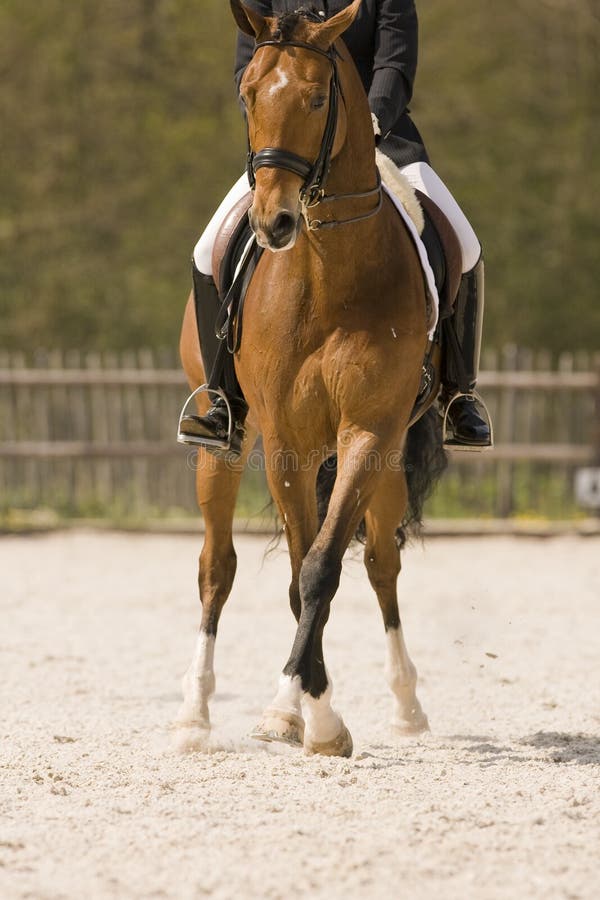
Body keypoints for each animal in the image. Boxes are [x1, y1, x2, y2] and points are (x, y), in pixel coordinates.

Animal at [173, 0, 446, 760]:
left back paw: (407, 708)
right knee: (216, 568)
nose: (274, 222)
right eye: (247, 95)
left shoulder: (368, 432)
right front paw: (295, 713)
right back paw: (194, 716)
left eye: (320, 98)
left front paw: (317, 719)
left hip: (386, 457)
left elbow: (323, 568)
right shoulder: (288, 443)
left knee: (380, 561)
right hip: (224, 446)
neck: (329, 272)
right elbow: (299, 575)